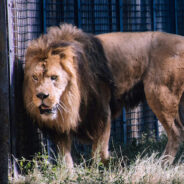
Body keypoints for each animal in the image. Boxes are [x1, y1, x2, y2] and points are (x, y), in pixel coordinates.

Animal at [23, 24, 184, 168]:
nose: (41, 95)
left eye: (54, 77)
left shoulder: (102, 112)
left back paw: (162, 164)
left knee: (176, 132)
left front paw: (100, 168)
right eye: (35, 77)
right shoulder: (61, 123)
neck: (71, 99)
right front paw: (69, 173)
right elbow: (65, 154)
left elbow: (99, 149)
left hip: (159, 94)